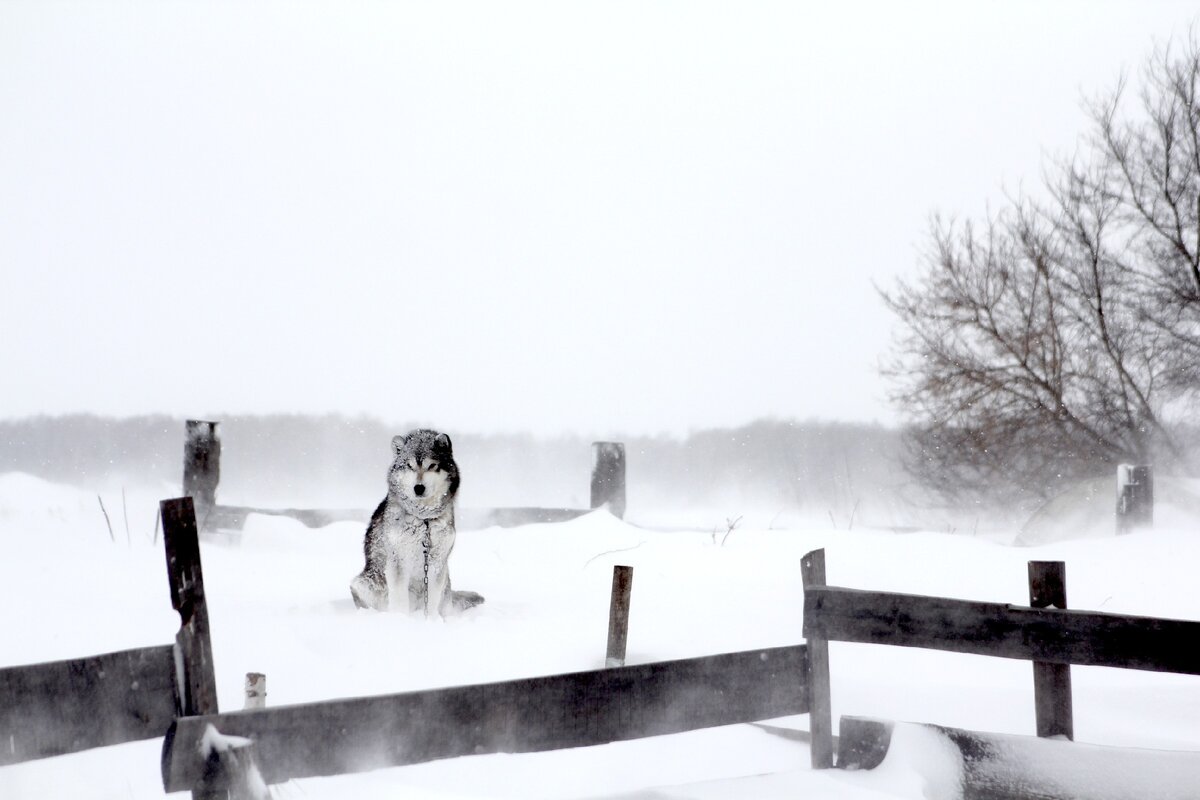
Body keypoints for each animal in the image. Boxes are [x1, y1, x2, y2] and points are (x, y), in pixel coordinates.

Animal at [348, 429, 482, 618]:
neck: (423, 519)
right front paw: (402, 619)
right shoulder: (397, 561)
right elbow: (400, 600)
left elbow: (432, 601)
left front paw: (430, 620)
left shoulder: (437, 563)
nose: (418, 488)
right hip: (364, 583)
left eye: (431, 466)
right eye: (409, 466)